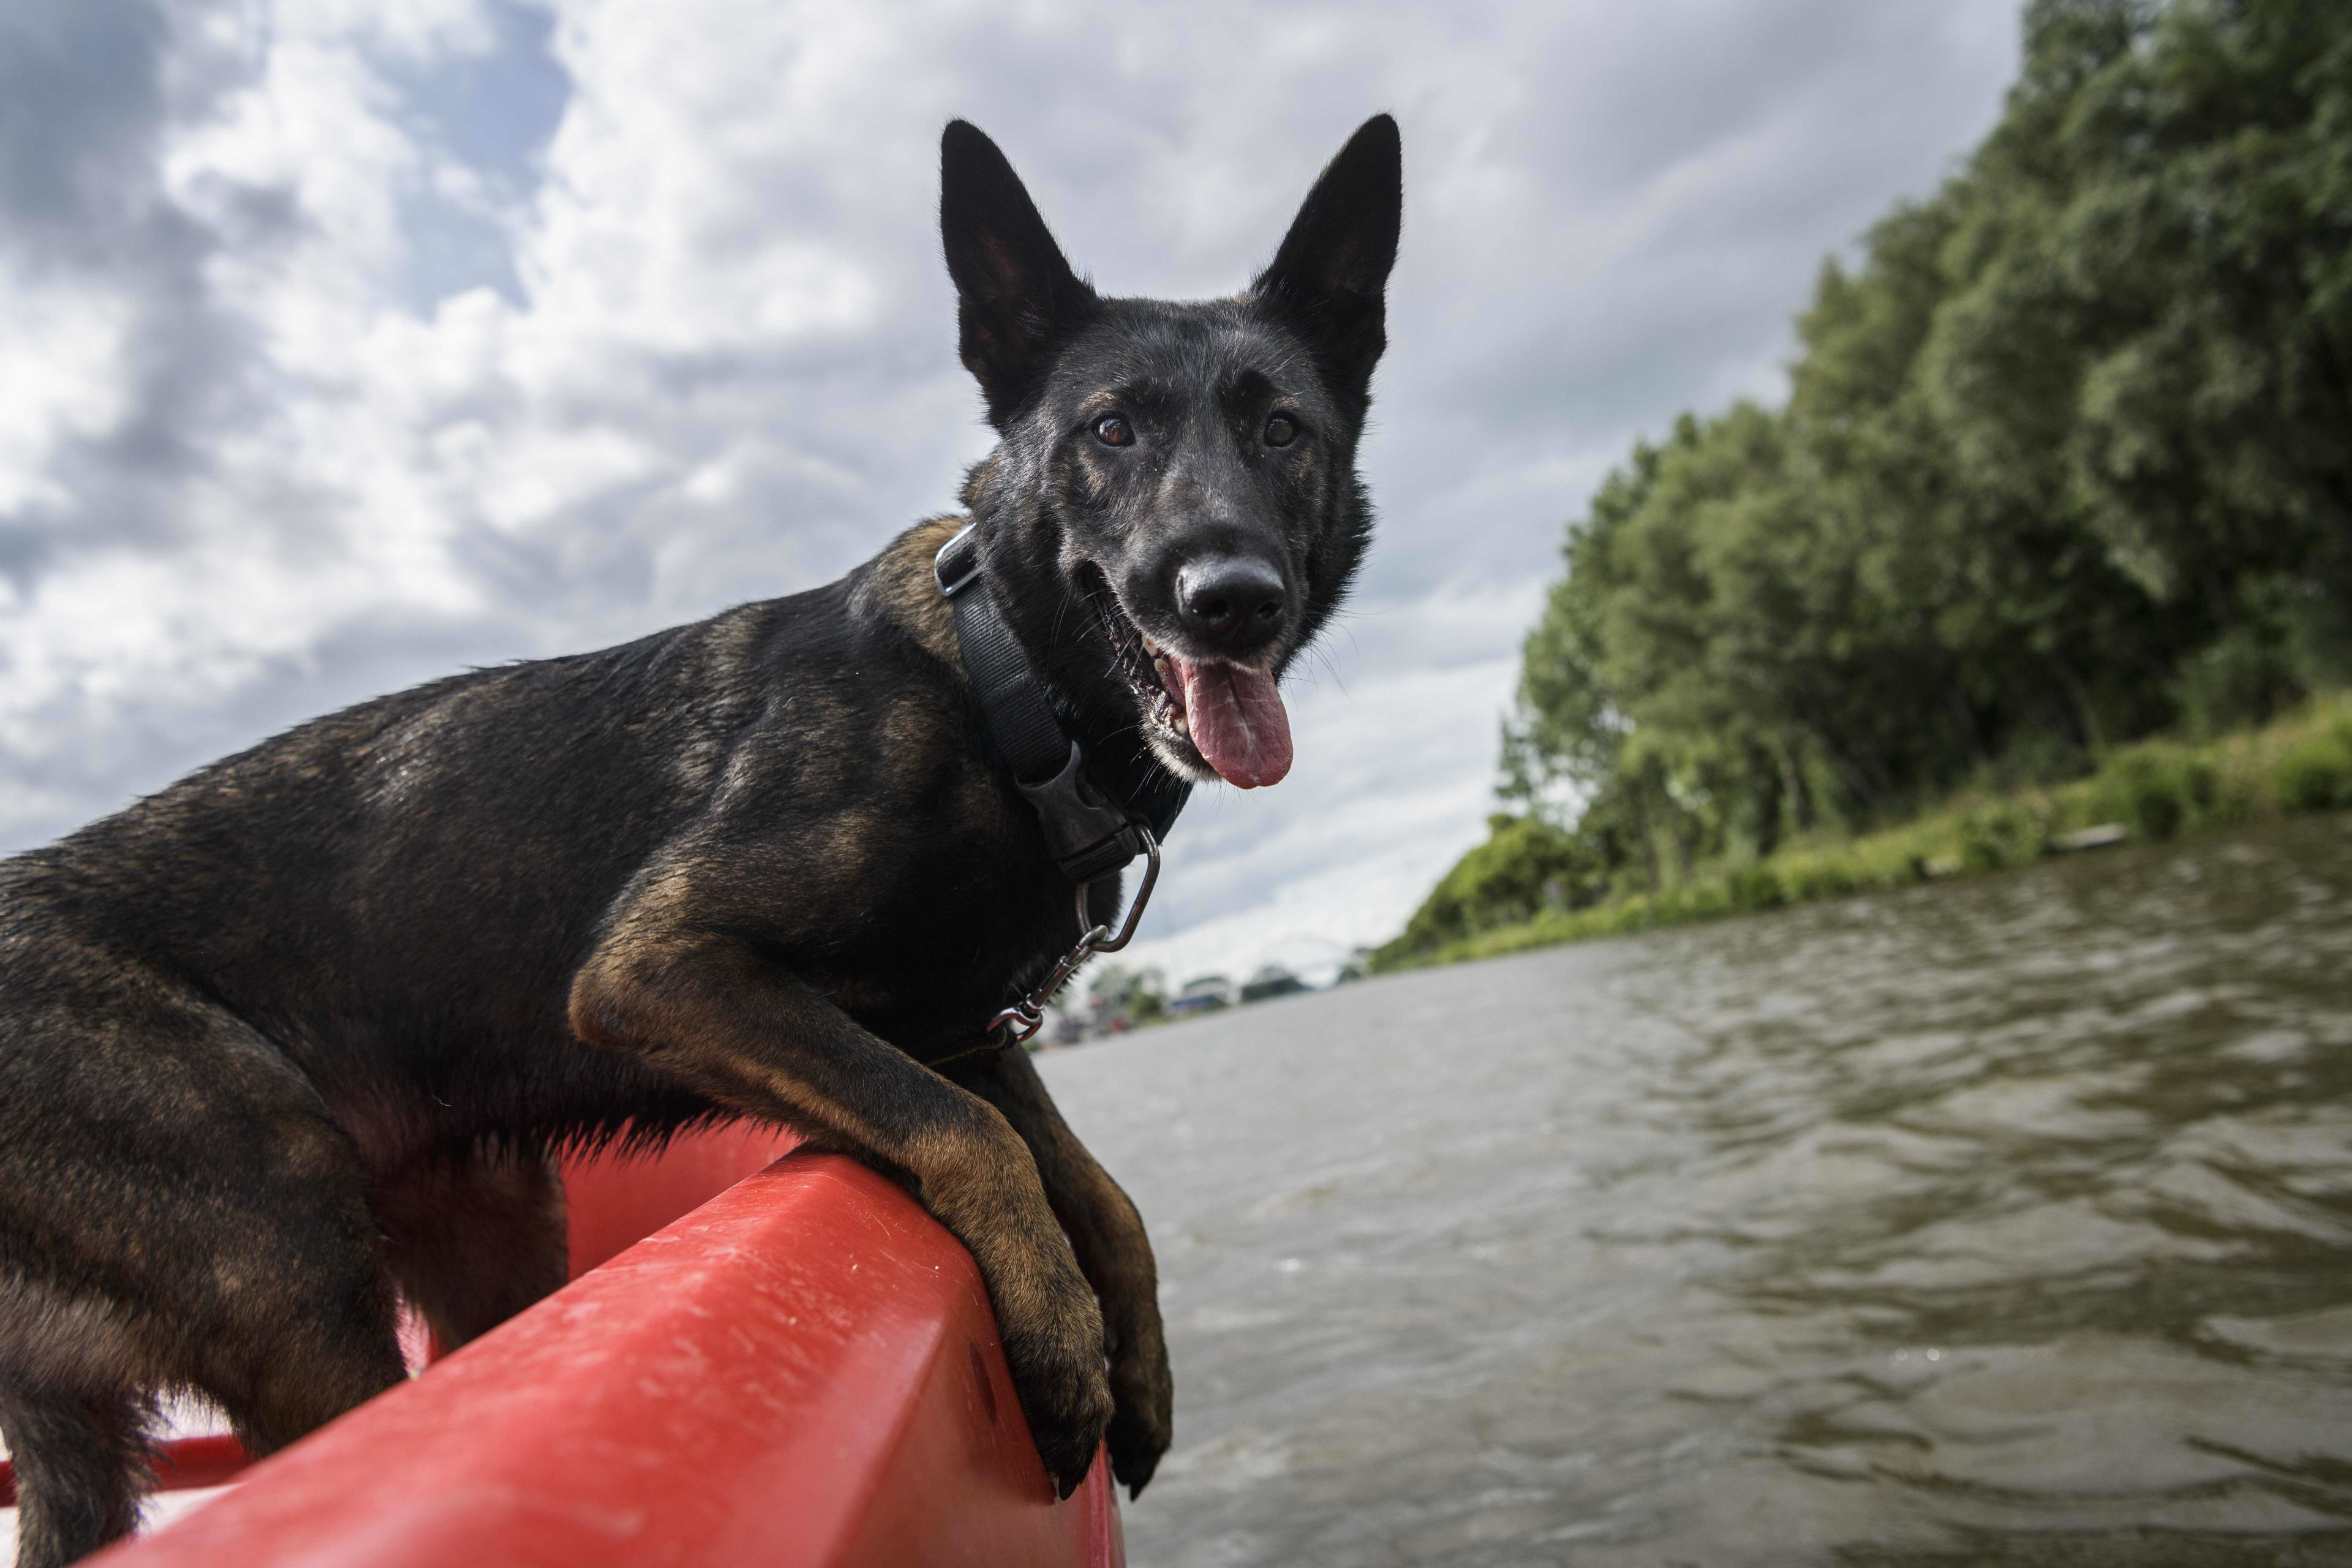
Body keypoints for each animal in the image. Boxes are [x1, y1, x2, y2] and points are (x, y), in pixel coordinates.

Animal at [0, 116, 1392, 1561]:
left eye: (1282, 428)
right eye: (1109, 430)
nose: (1230, 598)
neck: (997, 682)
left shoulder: (953, 1026)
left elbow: (1095, 1187)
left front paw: (1140, 1363)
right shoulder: (667, 971)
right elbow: (970, 1137)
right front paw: (1062, 1348)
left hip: (493, 1224)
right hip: (288, 1249)